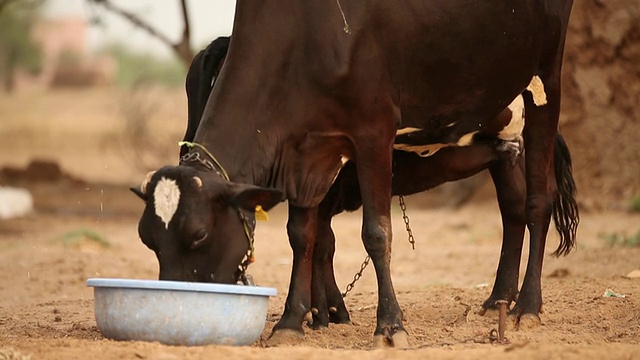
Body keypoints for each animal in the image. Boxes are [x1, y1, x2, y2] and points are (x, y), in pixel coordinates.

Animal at [132, 1, 572, 348]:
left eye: (199, 235)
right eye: (148, 239)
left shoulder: (372, 132)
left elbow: (375, 233)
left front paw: (388, 326)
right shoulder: (306, 153)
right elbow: (303, 236)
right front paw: (293, 321)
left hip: (546, 80)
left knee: (538, 201)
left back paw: (527, 306)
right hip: (503, 136)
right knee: (512, 209)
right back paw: (498, 299)